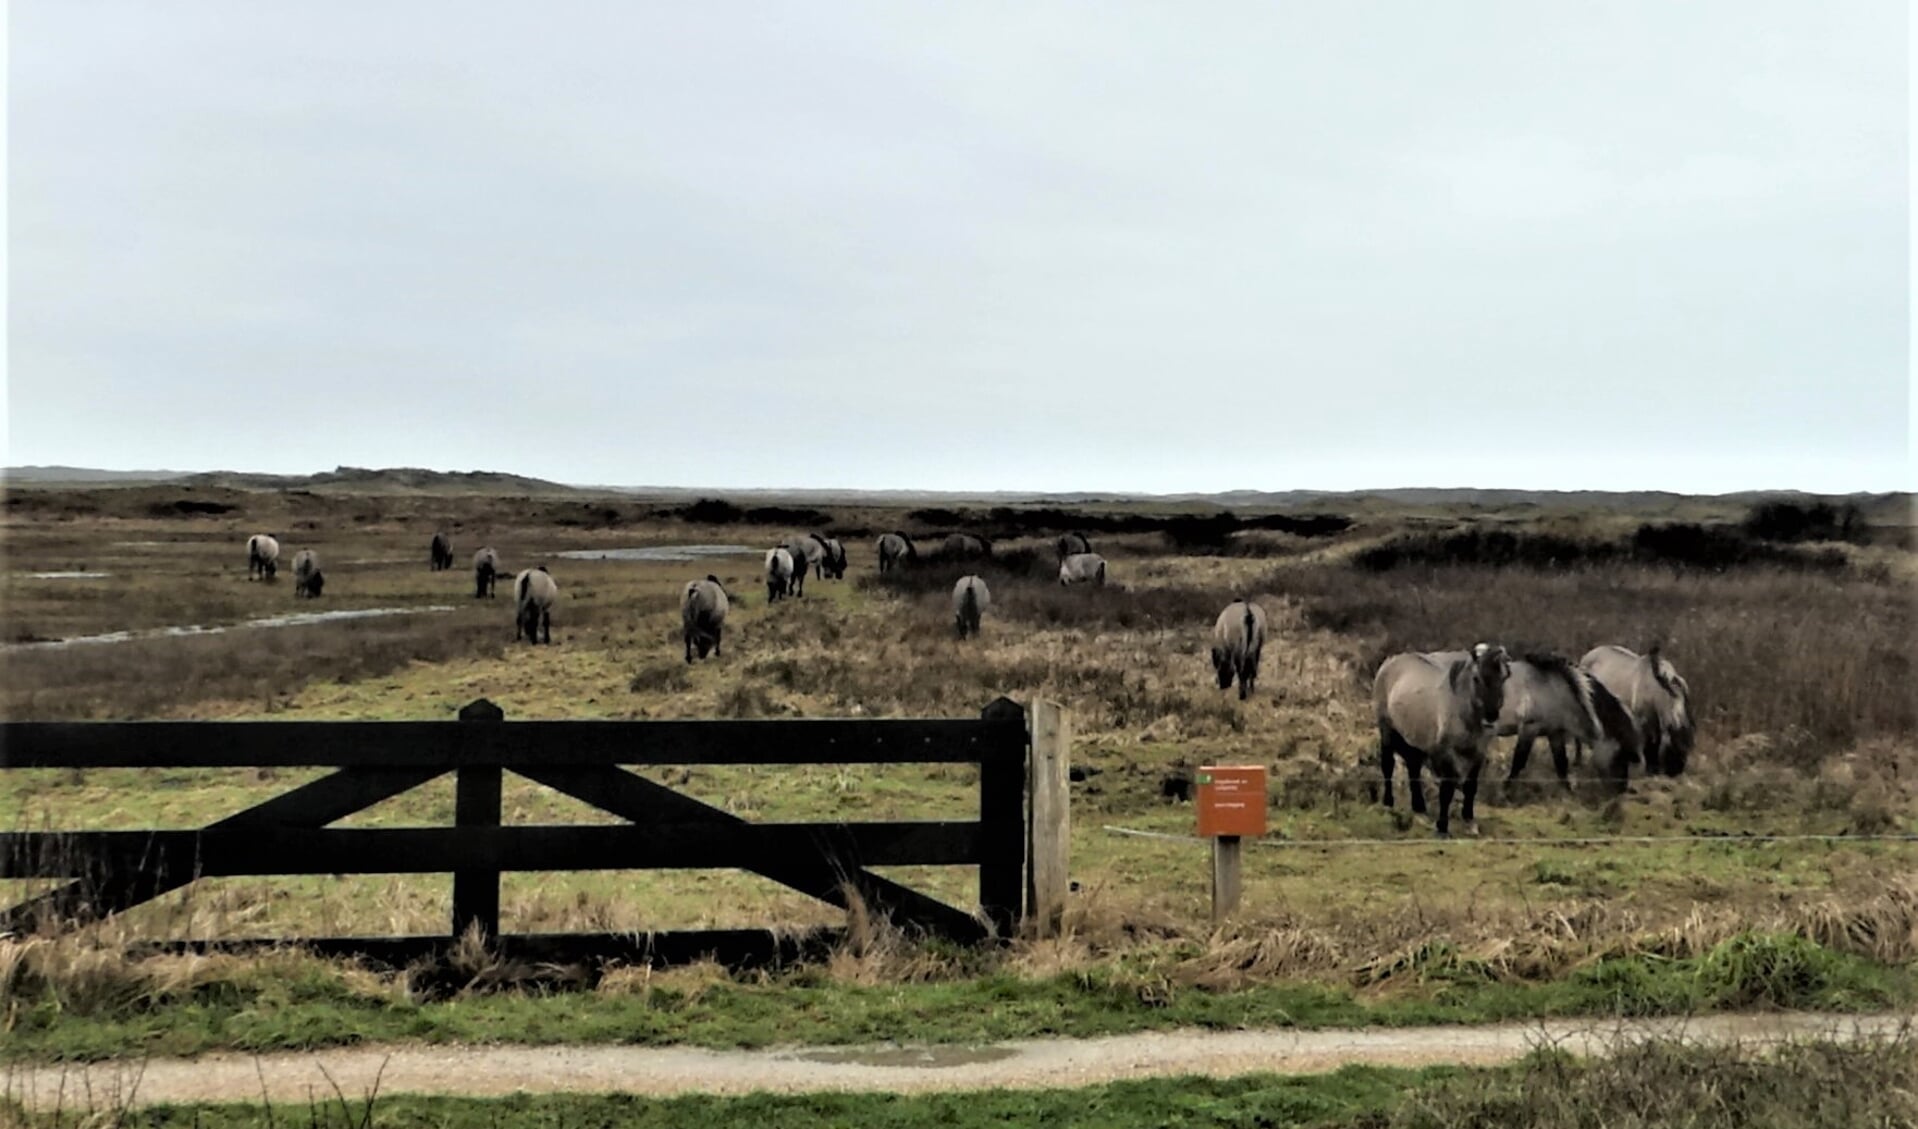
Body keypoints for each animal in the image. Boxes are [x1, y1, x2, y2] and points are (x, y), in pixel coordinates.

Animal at [1373, 644, 1519, 835]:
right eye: (1476, 678)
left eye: (1504, 676)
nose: (1491, 718)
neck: (1464, 711)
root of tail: (1390, 661)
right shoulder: (1446, 753)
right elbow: (1447, 789)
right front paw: (1442, 827)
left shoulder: (1478, 753)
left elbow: (1471, 787)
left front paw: (1469, 821)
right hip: (1387, 731)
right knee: (1388, 765)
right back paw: (1388, 804)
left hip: (1415, 741)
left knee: (1413, 767)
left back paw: (1420, 810)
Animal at [1488, 651, 1641, 793]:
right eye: (1619, 755)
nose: (1621, 790)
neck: (1554, 688)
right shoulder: (1529, 728)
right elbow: (1518, 762)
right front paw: (1505, 790)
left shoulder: (1554, 733)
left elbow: (1561, 764)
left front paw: (1568, 792)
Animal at [1580, 644, 1703, 774]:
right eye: (1674, 741)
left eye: (1690, 746)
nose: (1676, 770)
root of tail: (1586, 656)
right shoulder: (1644, 722)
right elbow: (1650, 745)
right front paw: (1651, 769)